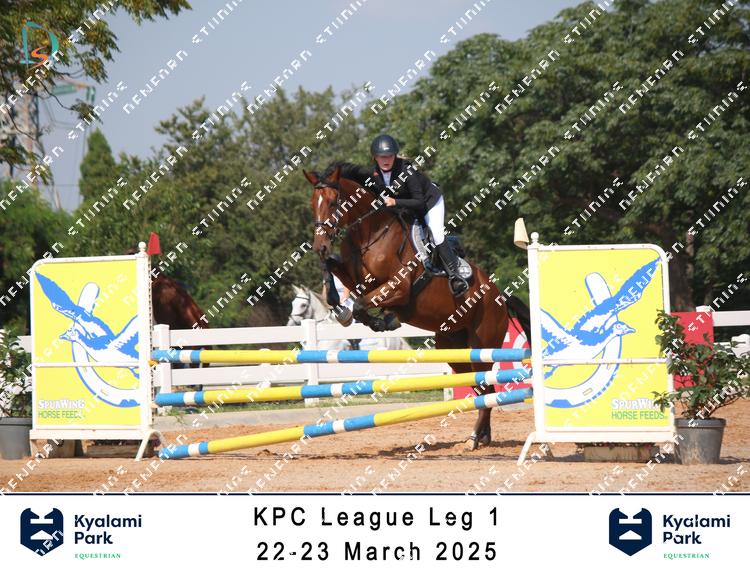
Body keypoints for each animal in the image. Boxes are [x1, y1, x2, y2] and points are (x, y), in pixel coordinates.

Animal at [303, 162, 531, 449]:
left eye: (334, 202)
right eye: (313, 204)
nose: (319, 246)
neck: (371, 233)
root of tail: (500, 295)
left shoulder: (399, 287)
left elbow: (361, 304)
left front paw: (383, 320)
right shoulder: (356, 278)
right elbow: (335, 272)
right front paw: (341, 307)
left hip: (482, 344)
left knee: (485, 385)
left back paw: (473, 439)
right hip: (454, 348)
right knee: (483, 389)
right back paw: (481, 437)